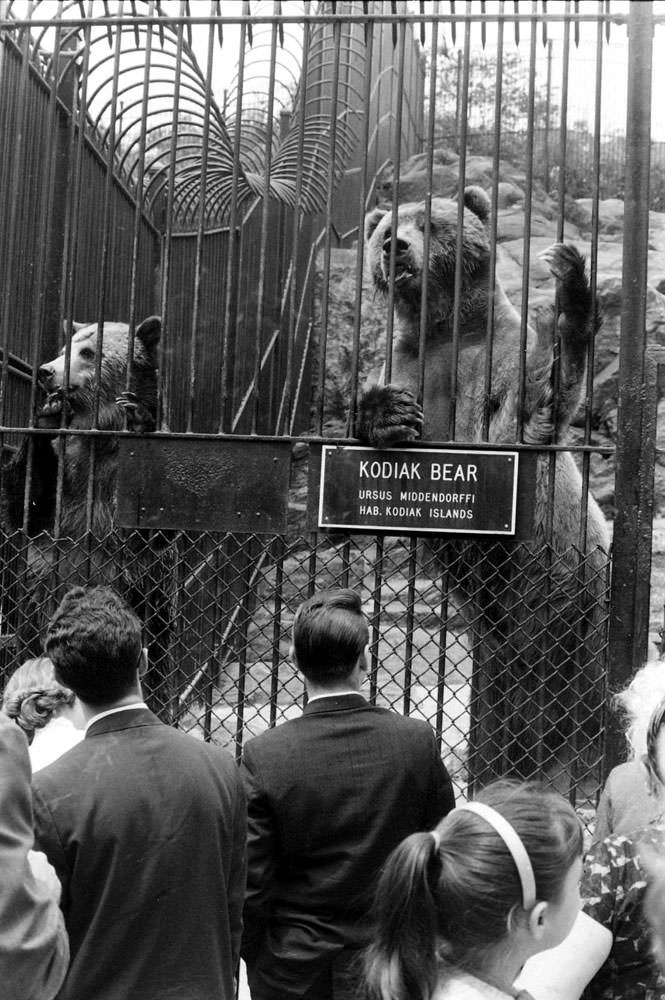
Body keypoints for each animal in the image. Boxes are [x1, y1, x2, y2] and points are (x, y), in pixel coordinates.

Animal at [1, 316, 174, 716]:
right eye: (66, 347)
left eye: (89, 352)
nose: (46, 371)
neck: (99, 435)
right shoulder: (64, 474)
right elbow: (26, 506)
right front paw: (49, 413)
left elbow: (156, 527)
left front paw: (137, 416)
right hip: (36, 603)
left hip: (144, 595)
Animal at [356, 188, 608, 788]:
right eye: (385, 231)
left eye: (431, 223)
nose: (396, 246)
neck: (444, 331)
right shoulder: (411, 367)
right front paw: (387, 415)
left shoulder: (492, 369)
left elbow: (532, 411)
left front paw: (571, 291)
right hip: (491, 633)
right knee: (499, 697)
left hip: (574, 583)